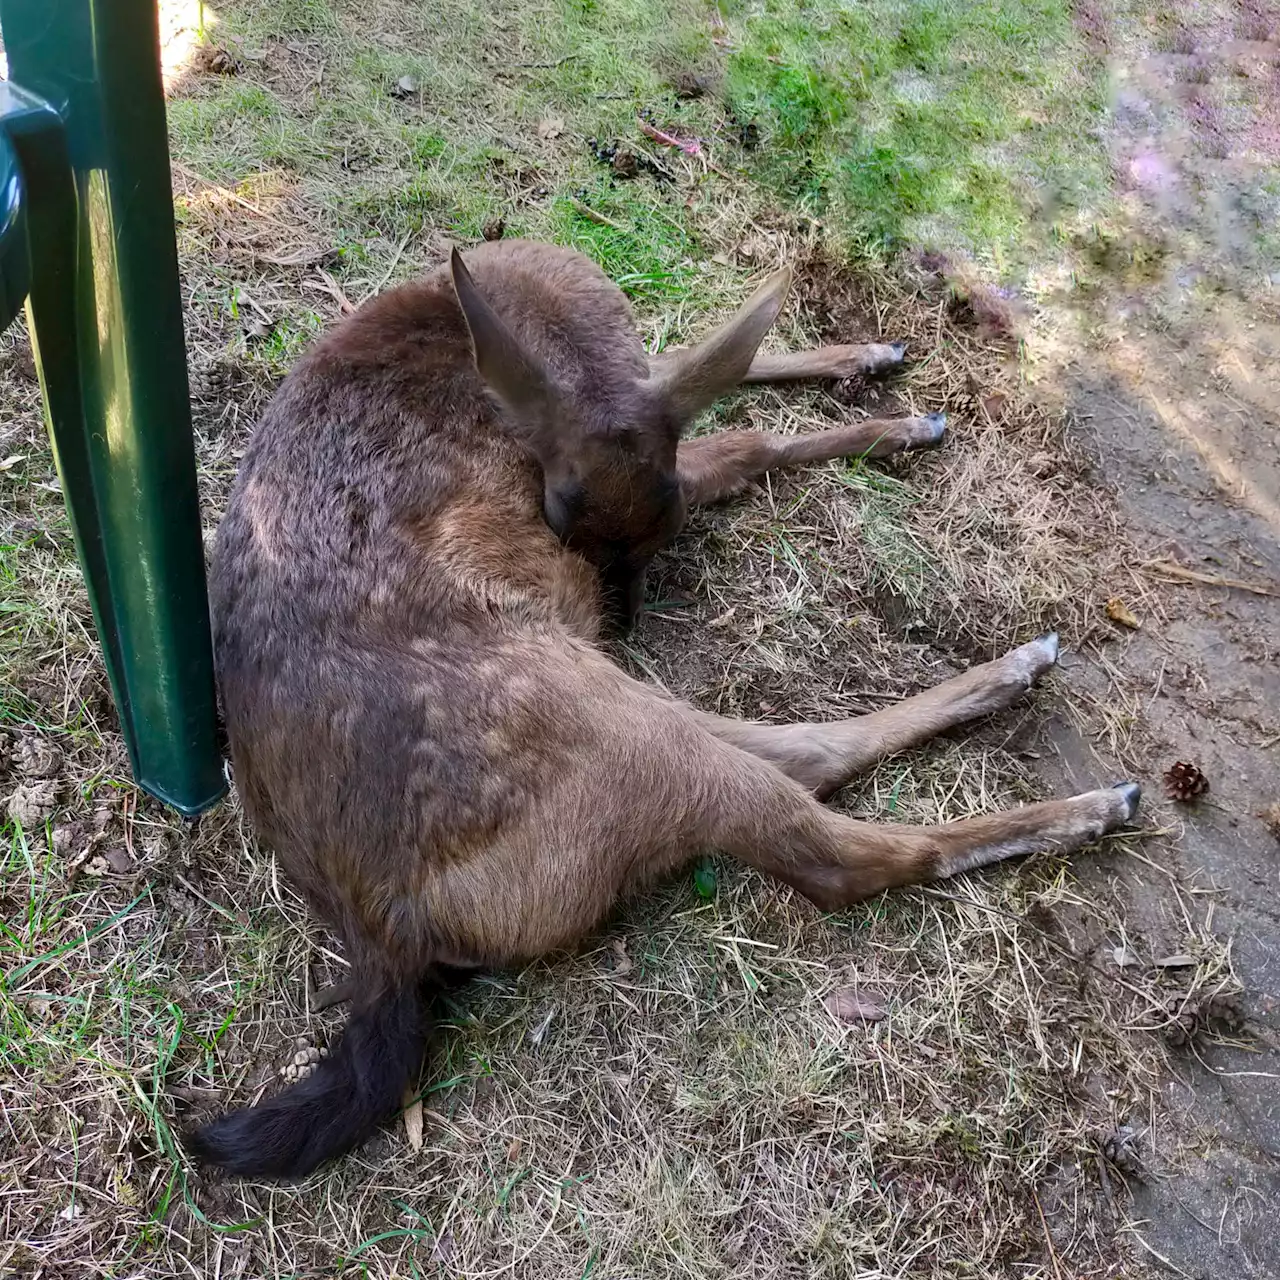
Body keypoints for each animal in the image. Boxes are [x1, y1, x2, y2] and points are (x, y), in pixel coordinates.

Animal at [186, 240, 1141, 1177]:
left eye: (659, 528)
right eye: (556, 513)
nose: (619, 617)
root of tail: (383, 933)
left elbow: (717, 366)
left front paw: (872, 363)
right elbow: (751, 434)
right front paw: (897, 420)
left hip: (615, 709)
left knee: (808, 751)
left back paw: (1012, 674)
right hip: (614, 729)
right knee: (842, 857)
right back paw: (1087, 800)